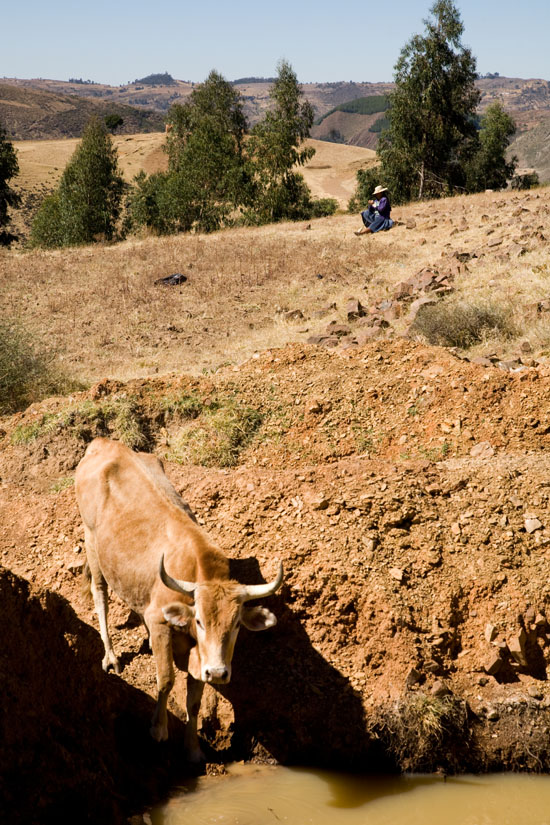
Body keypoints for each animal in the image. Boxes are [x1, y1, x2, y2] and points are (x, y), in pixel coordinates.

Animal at [74, 438, 284, 760]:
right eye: (199, 620)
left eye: (236, 625)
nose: (219, 672)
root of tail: (106, 443)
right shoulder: (160, 622)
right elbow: (166, 680)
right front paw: (158, 729)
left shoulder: (201, 655)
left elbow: (194, 701)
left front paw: (193, 748)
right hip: (91, 541)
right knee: (100, 595)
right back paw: (110, 657)